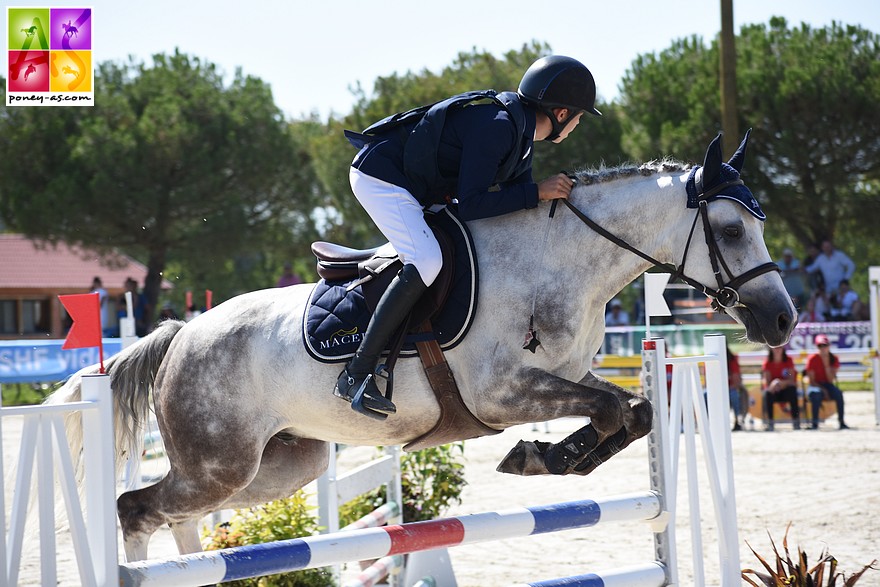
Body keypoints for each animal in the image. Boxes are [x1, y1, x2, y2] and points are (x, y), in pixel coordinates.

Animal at [44, 132, 796, 560]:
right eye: (732, 229)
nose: (783, 321)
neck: (558, 259)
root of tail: (180, 335)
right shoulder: (500, 392)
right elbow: (615, 411)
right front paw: (535, 456)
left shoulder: (567, 376)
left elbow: (632, 413)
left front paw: (546, 458)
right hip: (219, 462)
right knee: (135, 507)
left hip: (280, 465)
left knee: (176, 511)